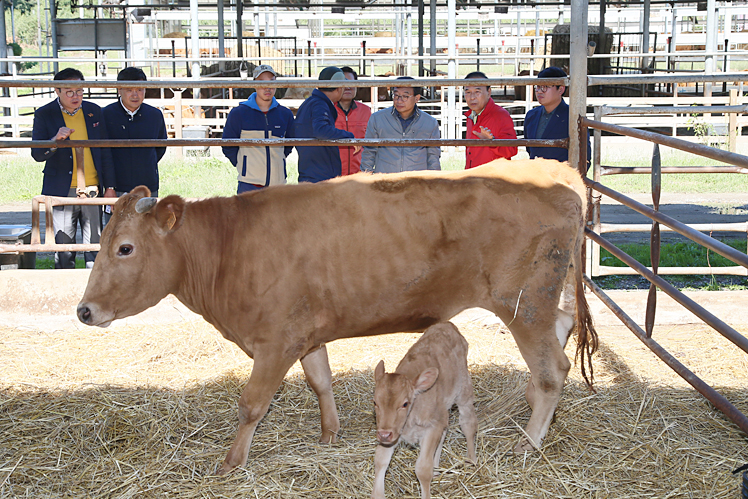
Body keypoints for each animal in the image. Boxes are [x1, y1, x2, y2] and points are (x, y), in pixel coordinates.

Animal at [77, 160, 596, 476]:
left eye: (125, 248)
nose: (84, 310)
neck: (230, 246)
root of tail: (558, 172)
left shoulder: (275, 342)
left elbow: (252, 404)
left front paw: (231, 461)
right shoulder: (305, 333)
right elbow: (320, 379)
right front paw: (330, 433)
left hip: (524, 304)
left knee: (553, 370)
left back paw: (528, 442)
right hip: (545, 302)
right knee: (559, 337)